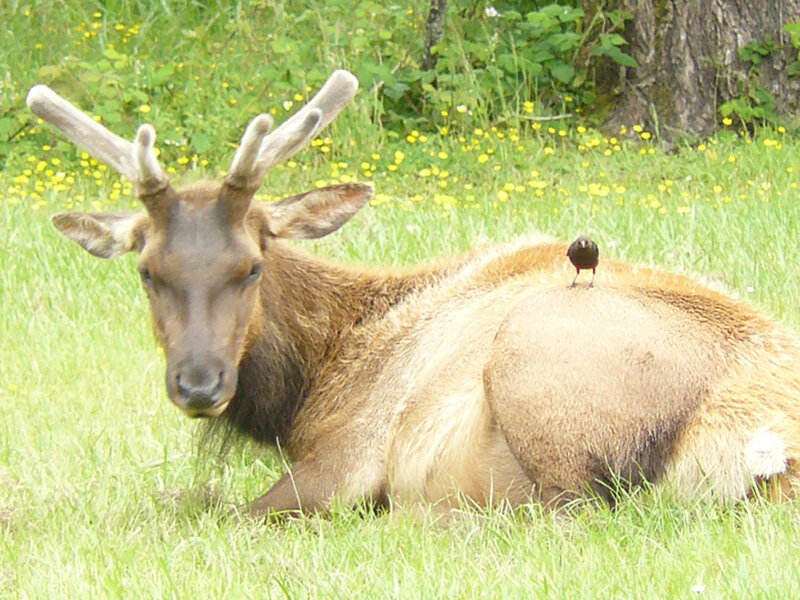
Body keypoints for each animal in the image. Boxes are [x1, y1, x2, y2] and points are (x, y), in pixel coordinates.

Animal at [28, 70, 800, 520]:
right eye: (147, 271)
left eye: (251, 266)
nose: (198, 383)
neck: (312, 389)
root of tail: (765, 449)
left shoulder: (346, 458)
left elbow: (207, 509)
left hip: (539, 363)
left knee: (564, 512)